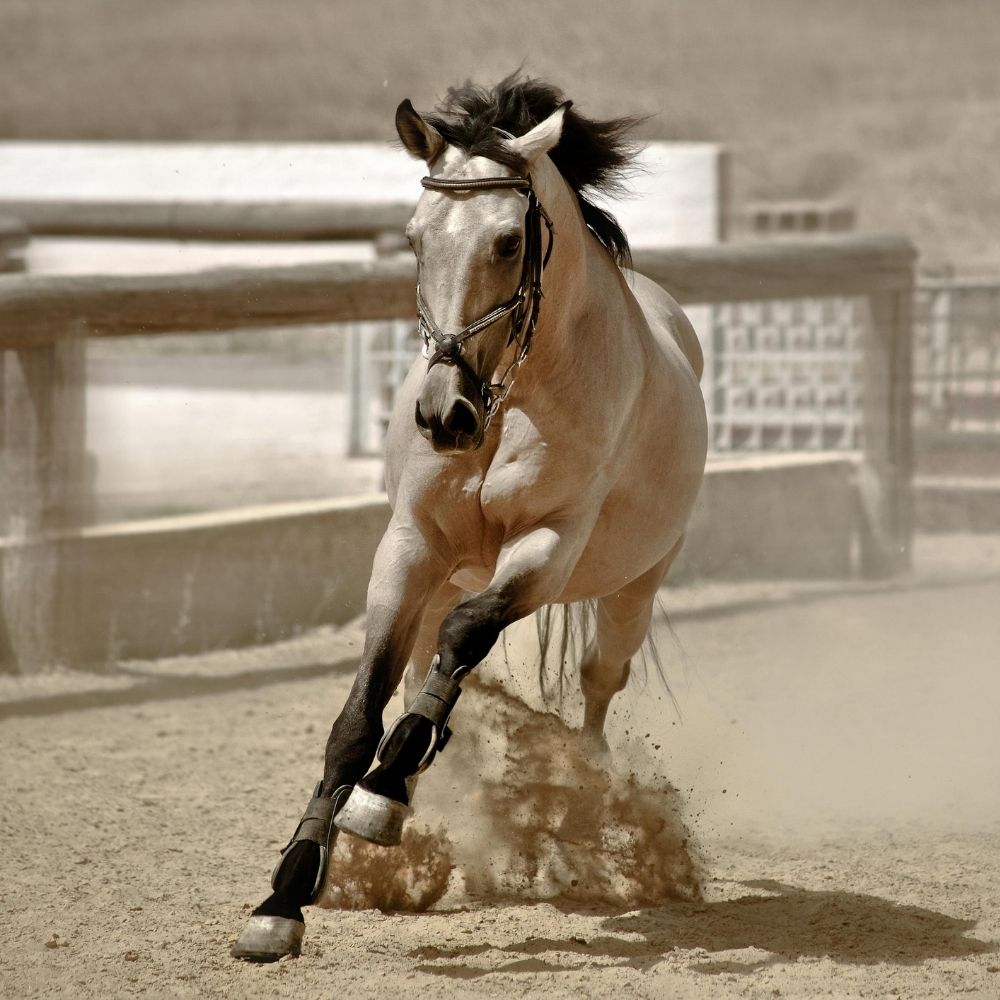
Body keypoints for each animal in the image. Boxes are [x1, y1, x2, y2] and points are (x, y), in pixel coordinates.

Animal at [232, 73, 707, 961]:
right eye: (416, 240)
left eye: (509, 242)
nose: (443, 416)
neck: (512, 399)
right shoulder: (409, 549)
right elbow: (360, 714)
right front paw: (284, 898)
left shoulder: (548, 547)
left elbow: (467, 636)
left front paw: (383, 793)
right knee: (429, 667)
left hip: (634, 587)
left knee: (594, 687)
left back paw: (582, 803)